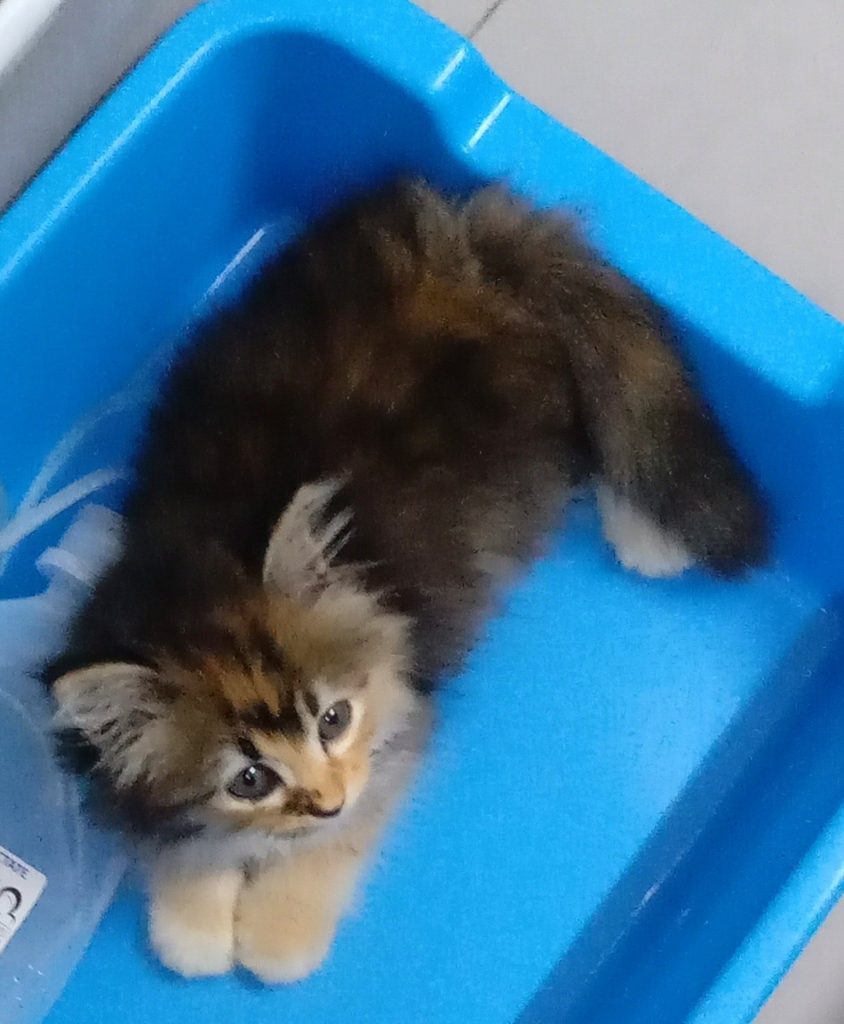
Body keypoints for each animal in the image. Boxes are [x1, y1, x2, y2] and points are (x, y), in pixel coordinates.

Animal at [44, 178, 767, 983]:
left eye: (334, 719)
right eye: (249, 780)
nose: (326, 800)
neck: (196, 556)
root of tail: (466, 244)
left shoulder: (401, 715)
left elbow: (344, 834)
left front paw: (277, 932)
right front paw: (192, 919)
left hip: (537, 431)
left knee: (602, 422)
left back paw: (648, 538)